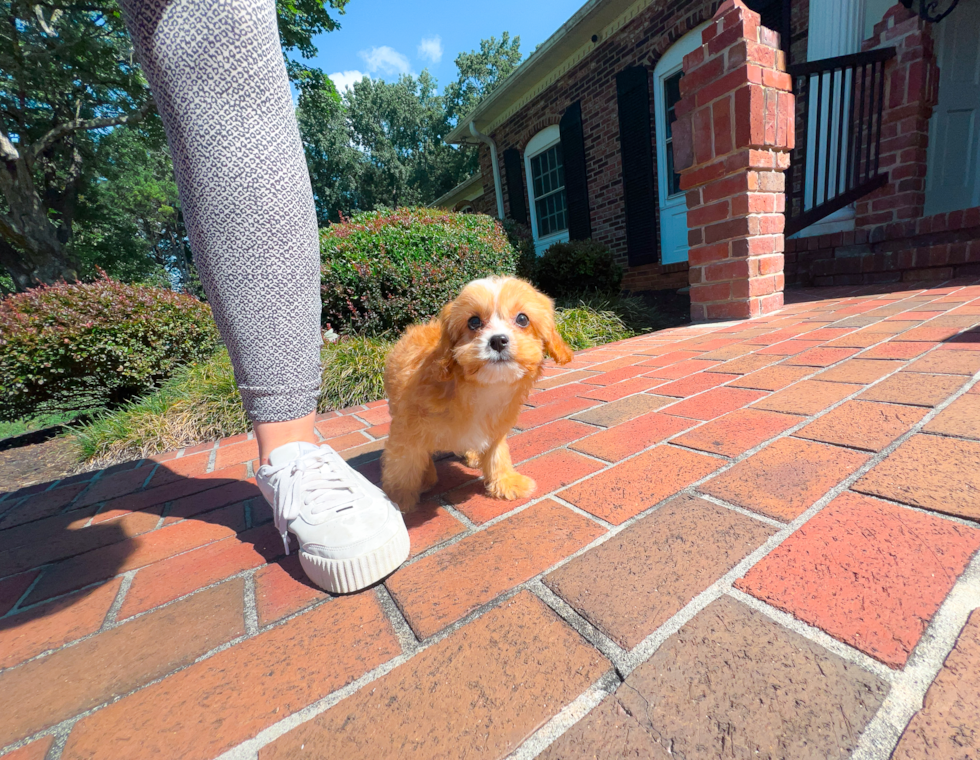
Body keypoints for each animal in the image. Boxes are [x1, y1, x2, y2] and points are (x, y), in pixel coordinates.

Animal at [378, 274, 572, 510]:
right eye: (474, 322)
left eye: (522, 319)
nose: (498, 340)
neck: (480, 388)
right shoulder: (407, 430)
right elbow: (404, 464)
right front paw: (398, 500)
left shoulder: (495, 428)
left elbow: (497, 454)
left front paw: (505, 482)